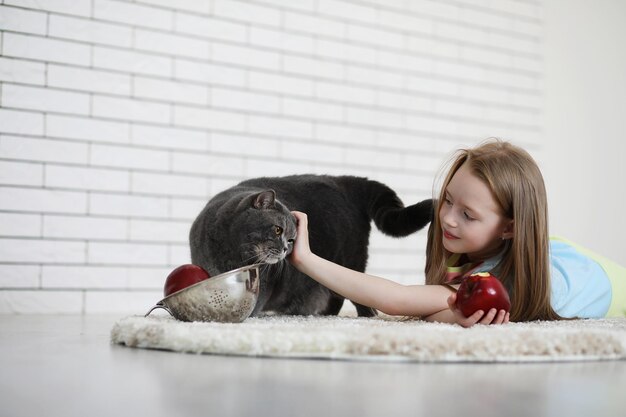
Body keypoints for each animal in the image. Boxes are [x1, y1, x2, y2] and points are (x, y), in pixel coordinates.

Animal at [189, 175, 428, 316]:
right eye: (278, 230)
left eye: (292, 239)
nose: (286, 249)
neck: (231, 254)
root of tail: (346, 180)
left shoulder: (264, 282)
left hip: (351, 259)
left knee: (358, 293)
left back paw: (366, 316)